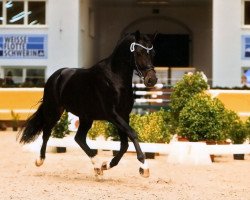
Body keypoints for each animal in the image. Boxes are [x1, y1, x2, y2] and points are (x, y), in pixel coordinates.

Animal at [18, 30, 157, 177]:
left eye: (153, 53)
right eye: (139, 53)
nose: (152, 79)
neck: (114, 78)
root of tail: (57, 75)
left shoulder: (124, 115)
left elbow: (124, 144)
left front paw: (106, 165)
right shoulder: (113, 115)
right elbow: (132, 134)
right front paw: (144, 168)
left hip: (86, 117)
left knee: (79, 138)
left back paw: (97, 166)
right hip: (54, 110)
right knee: (47, 132)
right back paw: (40, 160)